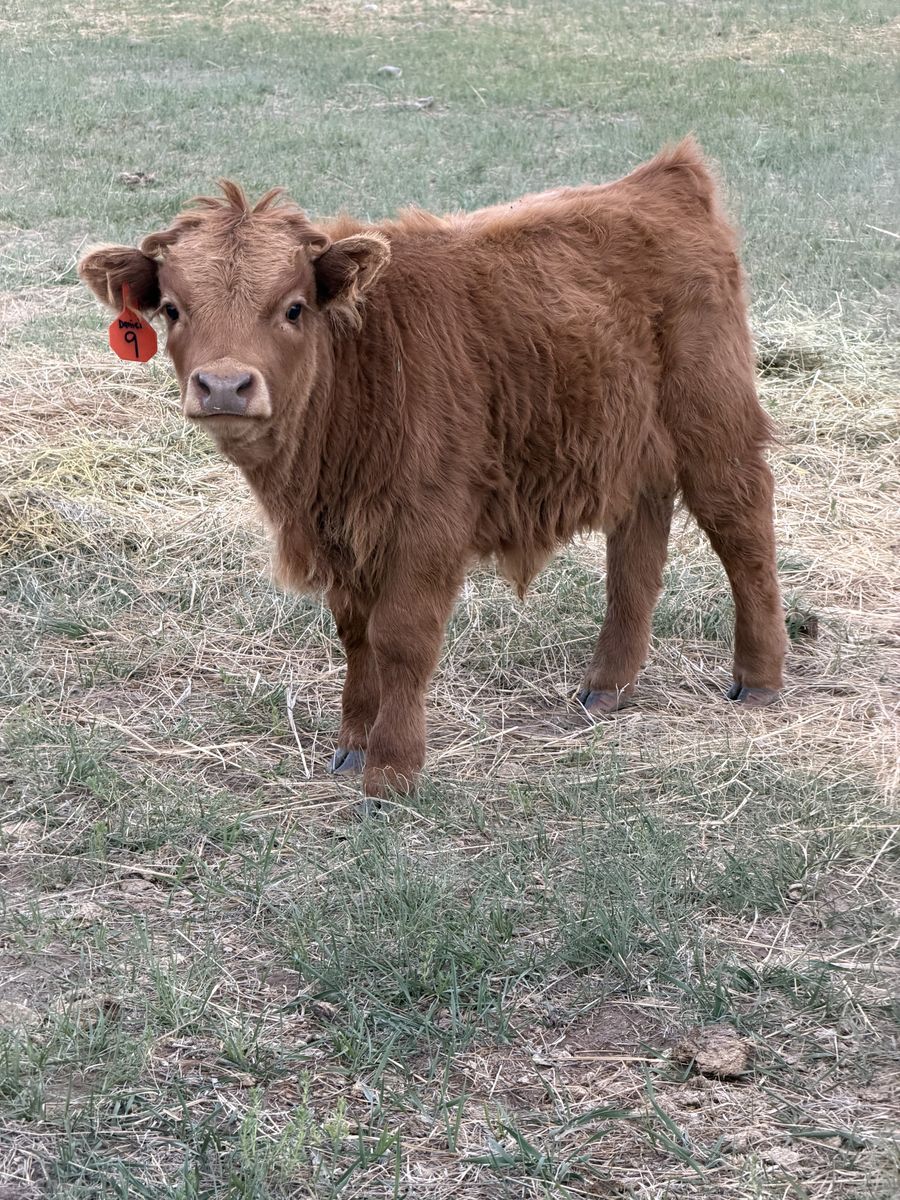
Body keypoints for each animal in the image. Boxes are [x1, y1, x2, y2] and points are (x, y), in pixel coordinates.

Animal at [79, 138, 786, 800]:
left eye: (293, 307)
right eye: (173, 308)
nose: (224, 385)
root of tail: (660, 182)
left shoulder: (426, 526)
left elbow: (401, 638)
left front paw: (392, 769)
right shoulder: (345, 534)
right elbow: (355, 635)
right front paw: (352, 744)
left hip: (714, 425)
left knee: (743, 531)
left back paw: (759, 677)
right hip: (630, 445)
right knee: (636, 549)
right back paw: (607, 685)